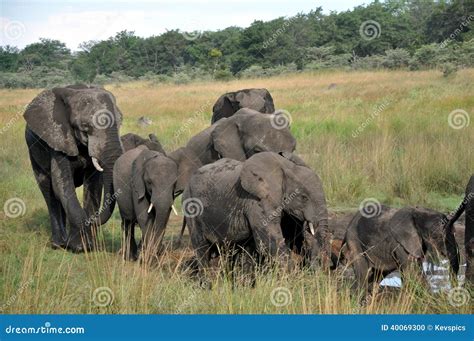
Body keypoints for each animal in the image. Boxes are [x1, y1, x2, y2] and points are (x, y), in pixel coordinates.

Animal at [24, 84, 122, 251]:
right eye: (85, 127)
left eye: (120, 122)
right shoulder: (59, 138)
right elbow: (62, 185)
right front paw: (78, 247)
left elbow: (94, 185)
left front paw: (90, 247)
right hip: (33, 151)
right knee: (48, 191)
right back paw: (58, 244)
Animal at [184, 153, 330, 280]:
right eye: (304, 197)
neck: (286, 167)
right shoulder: (257, 201)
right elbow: (269, 242)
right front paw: (292, 279)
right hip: (191, 207)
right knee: (201, 248)